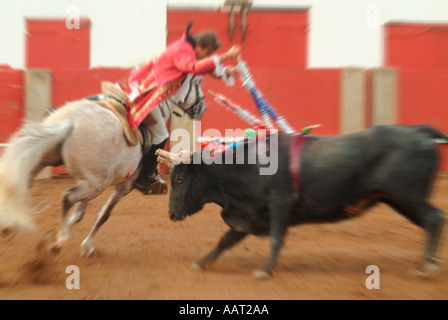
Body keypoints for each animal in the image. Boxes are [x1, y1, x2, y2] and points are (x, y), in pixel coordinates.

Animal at [0, 76, 206, 256]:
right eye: (197, 83)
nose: (202, 108)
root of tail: (72, 119)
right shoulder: (124, 185)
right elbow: (104, 214)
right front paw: (85, 246)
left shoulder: (85, 179)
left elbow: (80, 214)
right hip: (97, 184)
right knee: (67, 197)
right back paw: (59, 241)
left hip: (47, 157)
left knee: (23, 182)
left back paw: (10, 225)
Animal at [167, 125, 444, 278]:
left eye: (180, 178)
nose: (171, 214)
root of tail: (418, 132)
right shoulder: (248, 214)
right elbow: (225, 241)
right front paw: (202, 262)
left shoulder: (279, 205)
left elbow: (276, 239)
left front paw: (264, 270)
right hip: (400, 199)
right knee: (435, 219)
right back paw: (430, 264)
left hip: (407, 196)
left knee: (434, 219)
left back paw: (426, 267)